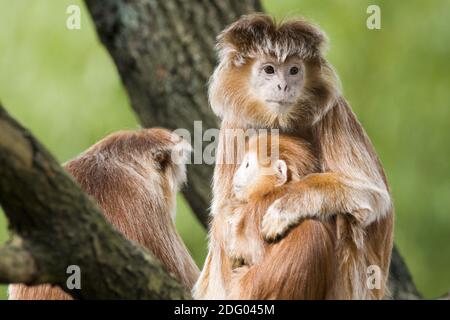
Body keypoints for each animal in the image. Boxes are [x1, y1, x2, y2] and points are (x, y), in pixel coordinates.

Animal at [193, 14, 394, 300]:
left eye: (294, 70)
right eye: (269, 70)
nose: (283, 85)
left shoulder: (333, 111)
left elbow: (371, 193)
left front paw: (285, 207)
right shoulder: (234, 125)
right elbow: (224, 209)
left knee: (345, 215)